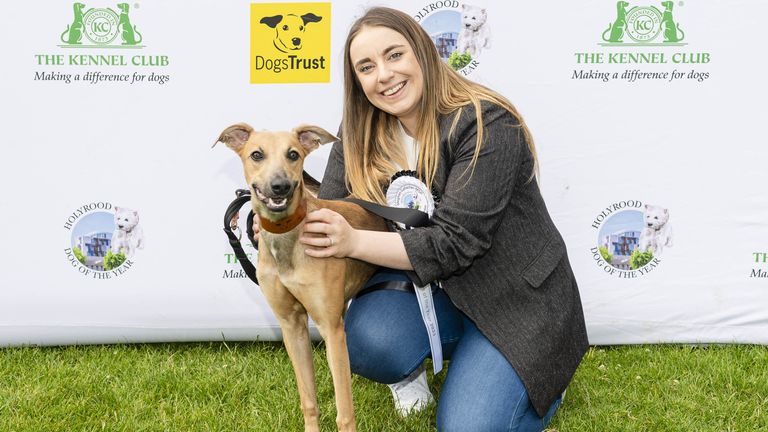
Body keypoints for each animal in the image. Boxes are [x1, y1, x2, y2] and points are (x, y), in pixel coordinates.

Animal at [214, 123, 384, 430]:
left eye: (293, 154)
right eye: (256, 154)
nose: (279, 185)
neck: (287, 239)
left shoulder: (331, 329)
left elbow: (344, 412)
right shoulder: (292, 326)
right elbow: (309, 400)